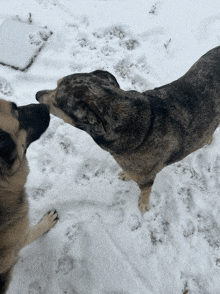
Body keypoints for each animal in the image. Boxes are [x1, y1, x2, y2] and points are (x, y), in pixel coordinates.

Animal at [36, 45, 220, 211]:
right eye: (56, 83)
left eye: (56, 103)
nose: (37, 94)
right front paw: (125, 175)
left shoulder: (146, 179)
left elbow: (145, 192)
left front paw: (144, 205)